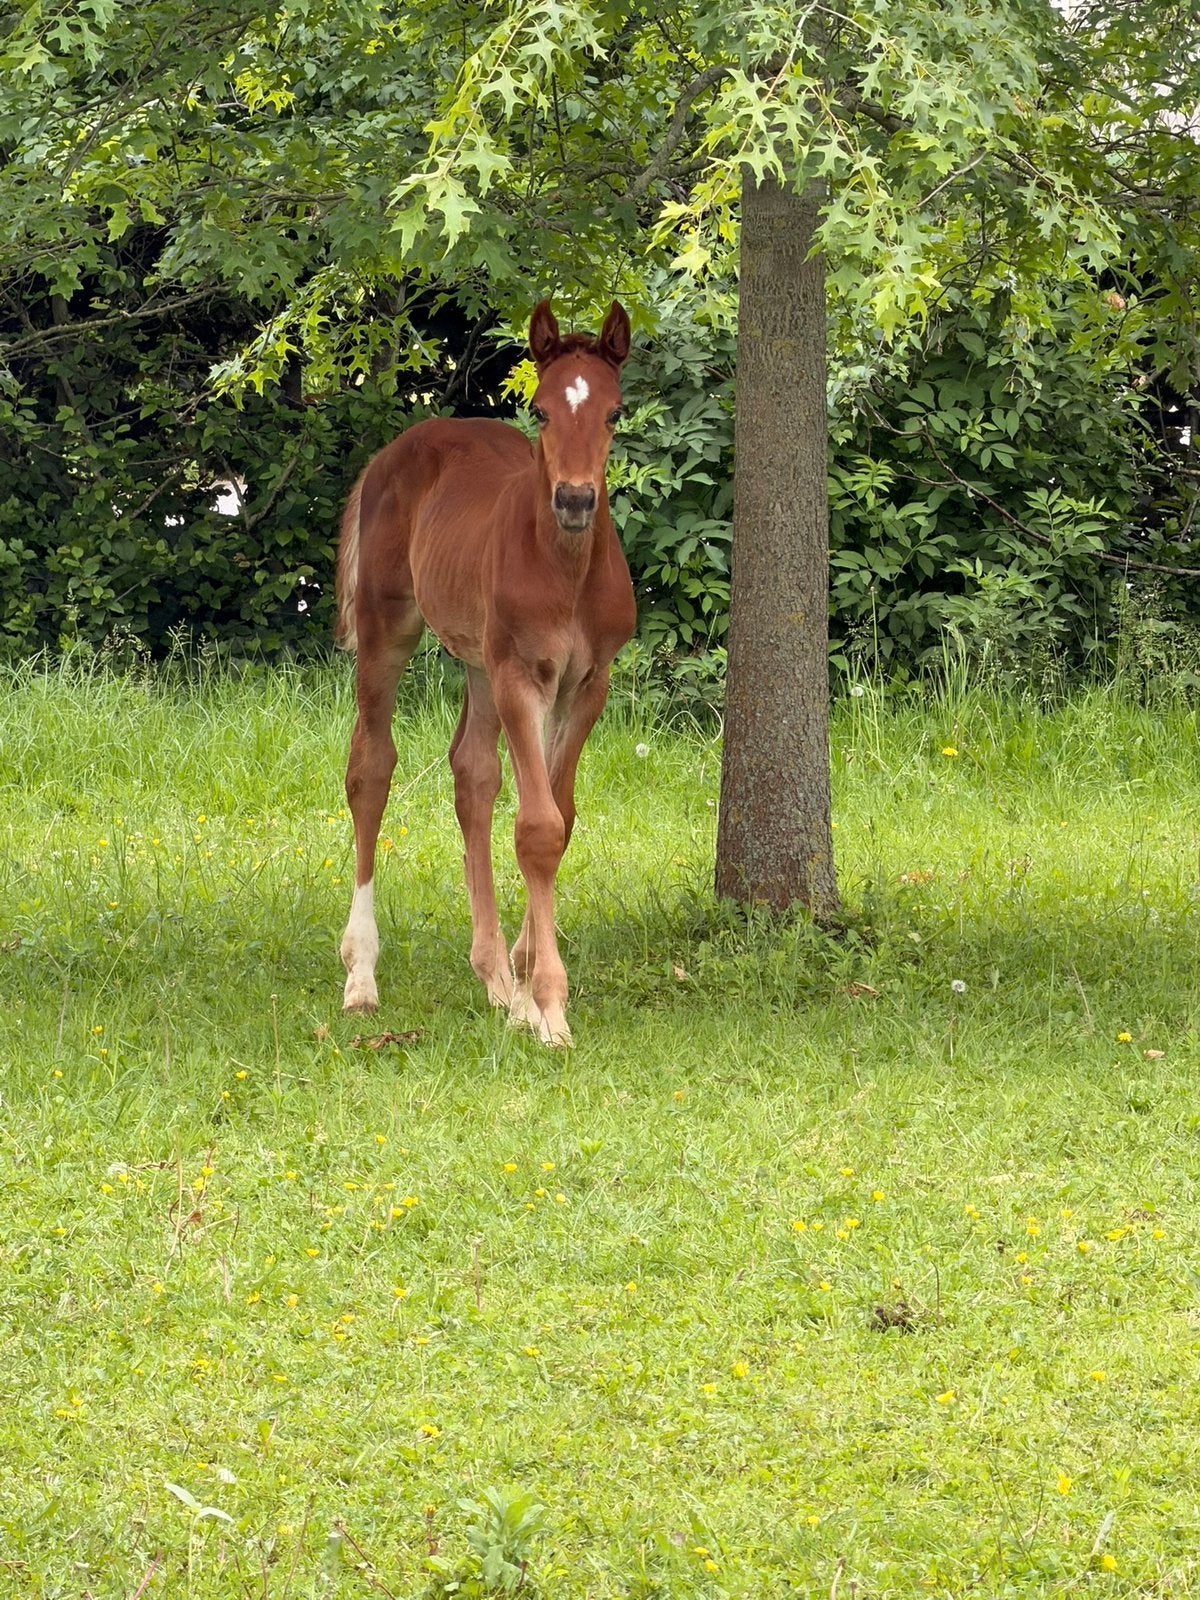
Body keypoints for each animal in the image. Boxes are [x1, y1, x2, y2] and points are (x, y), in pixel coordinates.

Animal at [334, 300, 636, 1046]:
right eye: (541, 410)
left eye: (614, 412)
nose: (575, 501)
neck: (567, 570)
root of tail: (392, 451)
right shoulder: (522, 676)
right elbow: (538, 827)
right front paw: (550, 1006)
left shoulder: (588, 684)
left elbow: (560, 814)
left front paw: (527, 989)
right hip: (392, 631)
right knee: (370, 769)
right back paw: (361, 976)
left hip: (477, 661)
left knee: (471, 773)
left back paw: (495, 977)